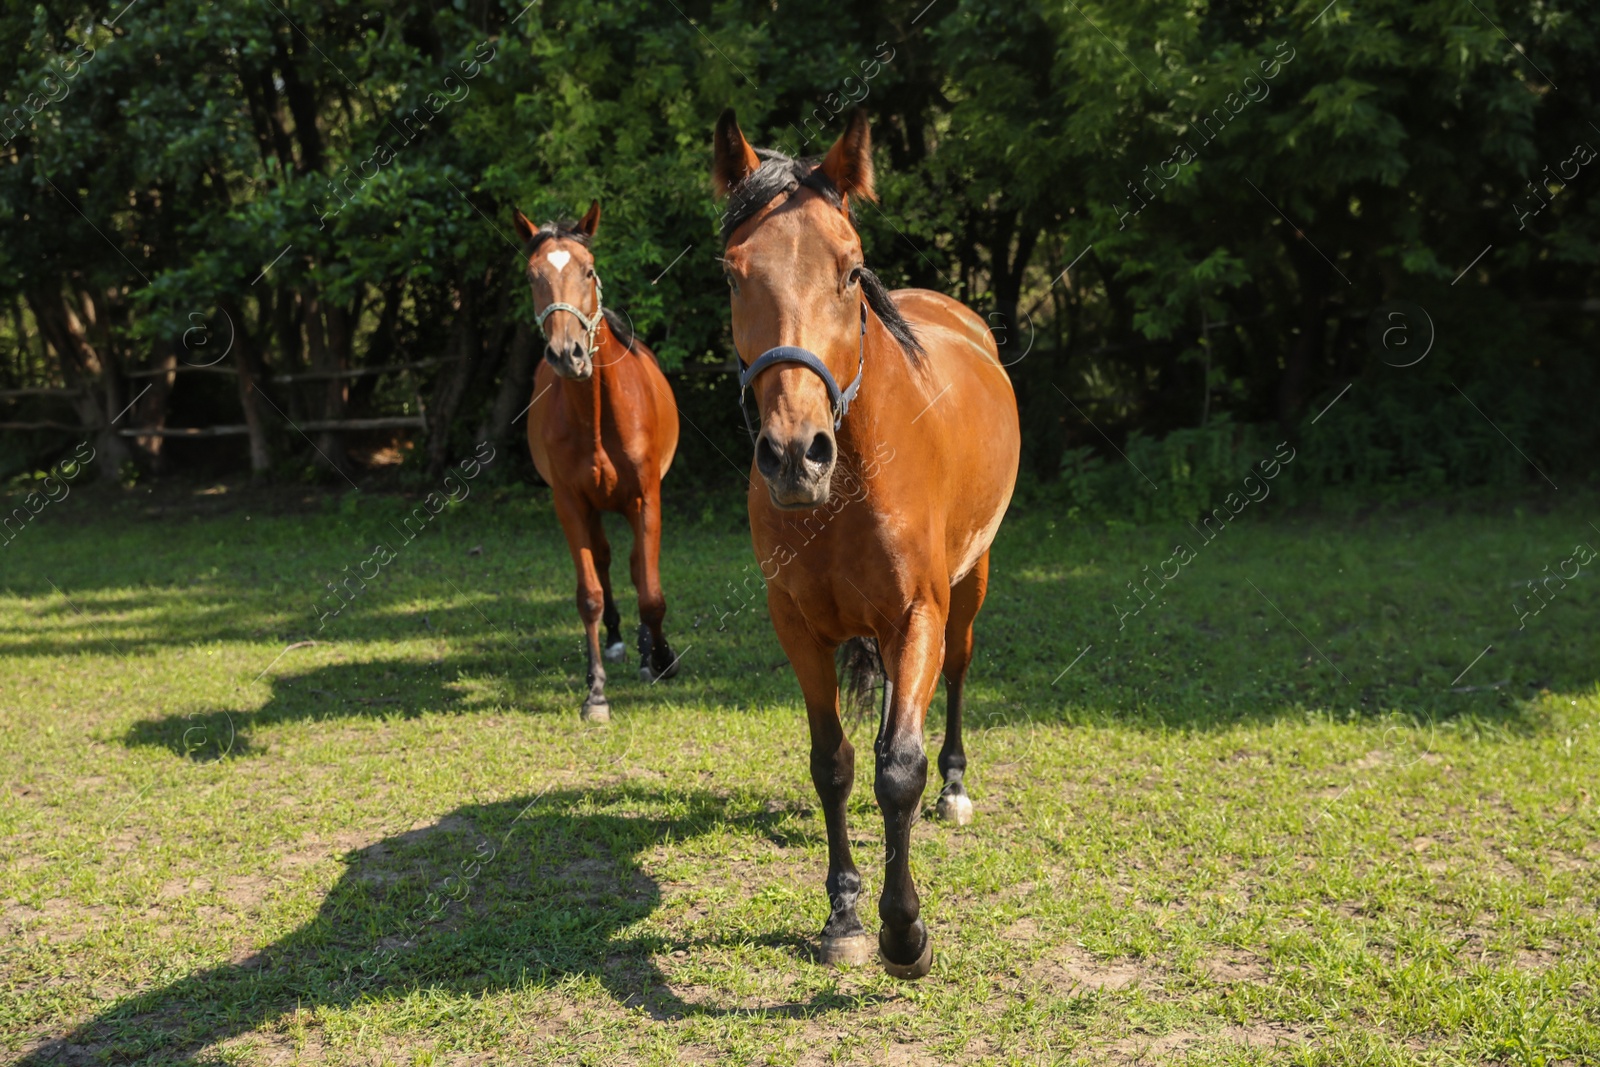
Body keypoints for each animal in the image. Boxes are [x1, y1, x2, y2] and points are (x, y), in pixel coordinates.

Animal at [518, 199, 681, 723]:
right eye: (532, 277)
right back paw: (616, 642)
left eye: (588, 271)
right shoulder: (571, 504)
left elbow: (650, 591)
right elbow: (588, 594)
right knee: (609, 564)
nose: (566, 353)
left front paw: (663, 659)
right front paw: (596, 693)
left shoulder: (646, 498)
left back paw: (649, 653)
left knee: (635, 567)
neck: (595, 414)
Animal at [716, 112, 1024, 979]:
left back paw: (954, 788)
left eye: (850, 270)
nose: (795, 454)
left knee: (955, 675)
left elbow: (898, 770)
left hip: (971, 585)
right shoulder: (797, 626)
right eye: (732, 275)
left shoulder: (919, 611)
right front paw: (846, 913)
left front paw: (904, 930)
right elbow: (837, 763)